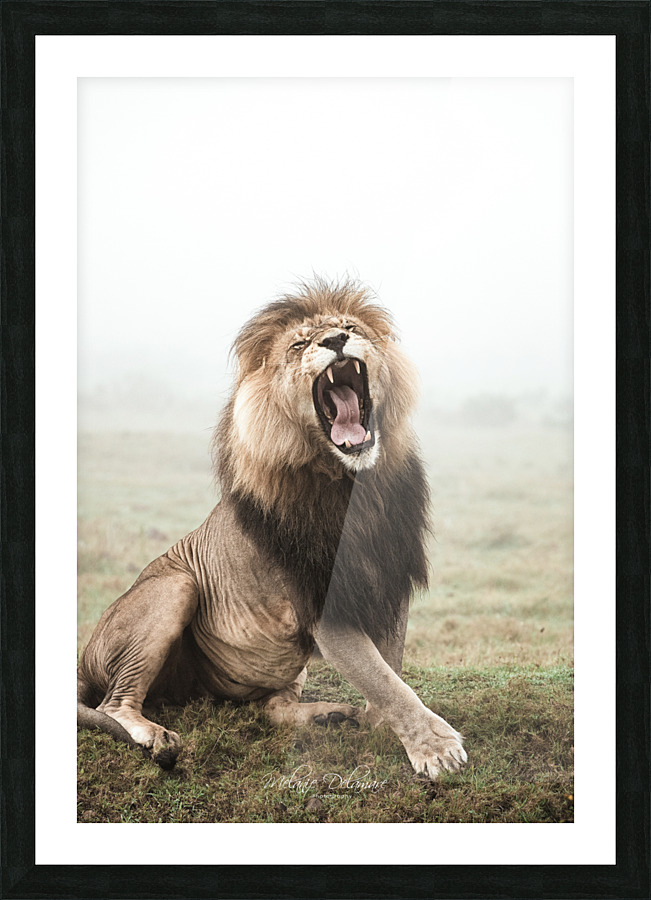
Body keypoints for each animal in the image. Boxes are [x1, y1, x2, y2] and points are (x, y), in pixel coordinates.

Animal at [77, 278, 467, 778]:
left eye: (349, 328)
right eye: (300, 345)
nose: (335, 341)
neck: (351, 485)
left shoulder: (387, 575)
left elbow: (390, 666)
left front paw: (380, 724)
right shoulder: (321, 602)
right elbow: (383, 678)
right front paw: (435, 748)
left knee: (271, 708)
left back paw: (328, 715)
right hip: (177, 586)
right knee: (113, 704)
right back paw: (155, 737)